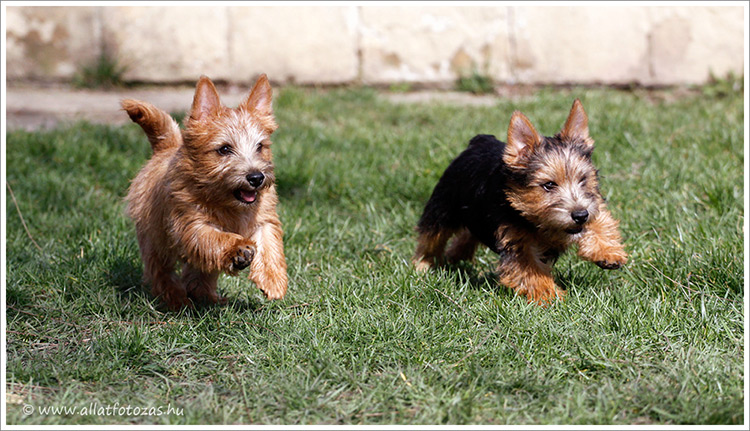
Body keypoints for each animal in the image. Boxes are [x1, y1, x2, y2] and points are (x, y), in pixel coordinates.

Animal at [123, 74, 288, 310]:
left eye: (260, 146)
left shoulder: (264, 218)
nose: (256, 178)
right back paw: (176, 299)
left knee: (198, 274)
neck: (228, 204)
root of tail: (166, 148)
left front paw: (272, 279)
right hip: (155, 240)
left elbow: (269, 245)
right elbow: (217, 238)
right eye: (224, 149)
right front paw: (238, 248)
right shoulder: (192, 225)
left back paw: (208, 298)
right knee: (161, 272)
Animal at [414, 99, 632, 306]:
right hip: (442, 206)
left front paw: (607, 251)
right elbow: (531, 269)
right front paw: (549, 296)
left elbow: (601, 217)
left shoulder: (591, 203)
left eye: (583, 179)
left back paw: (456, 256)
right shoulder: (517, 242)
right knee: (431, 237)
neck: (536, 220)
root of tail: (479, 141)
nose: (580, 215)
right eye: (548, 185)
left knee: (468, 234)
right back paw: (422, 267)